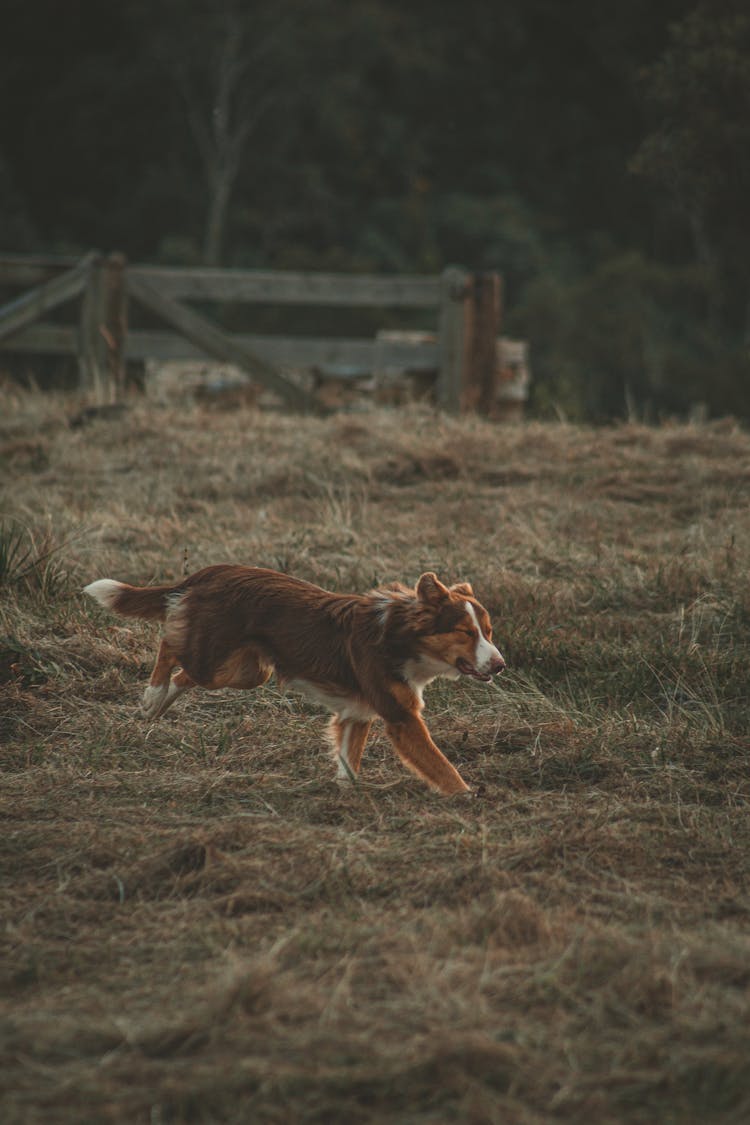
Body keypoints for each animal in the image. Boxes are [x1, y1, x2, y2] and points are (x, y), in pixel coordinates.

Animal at [82, 567, 508, 796]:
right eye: (466, 633)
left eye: (488, 631)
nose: (502, 665)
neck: (401, 636)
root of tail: (211, 572)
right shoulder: (401, 718)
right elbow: (441, 765)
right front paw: (468, 796)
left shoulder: (357, 713)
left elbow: (348, 764)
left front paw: (345, 794)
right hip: (212, 656)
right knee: (169, 644)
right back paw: (152, 696)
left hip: (246, 672)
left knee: (183, 671)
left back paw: (158, 704)